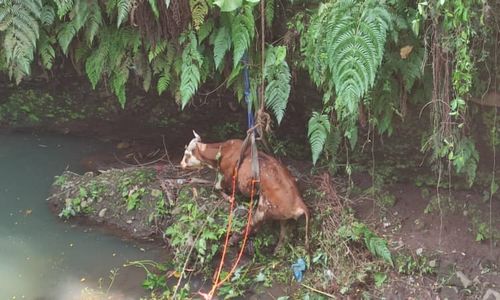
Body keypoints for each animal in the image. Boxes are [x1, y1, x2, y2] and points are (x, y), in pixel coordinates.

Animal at [180, 131, 308, 251]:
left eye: (186, 154)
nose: (181, 164)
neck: (223, 152)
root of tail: (299, 203)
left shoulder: (226, 177)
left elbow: (217, 188)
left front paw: (229, 198)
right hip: (284, 219)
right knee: (283, 234)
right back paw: (277, 248)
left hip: (264, 209)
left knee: (252, 226)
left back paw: (232, 239)